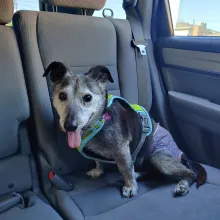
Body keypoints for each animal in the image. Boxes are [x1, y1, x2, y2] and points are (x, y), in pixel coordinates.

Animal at [43, 61, 207, 198]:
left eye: (87, 98)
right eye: (62, 96)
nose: (70, 126)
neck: (100, 120)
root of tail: (179, 151)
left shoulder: (121, 150)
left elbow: (125, 169)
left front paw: (130, 186)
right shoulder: (99, 153)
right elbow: (98, 160)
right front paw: (98, 170)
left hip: (157, 156)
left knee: (190, 174)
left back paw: (182, 185)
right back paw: (139, 174)